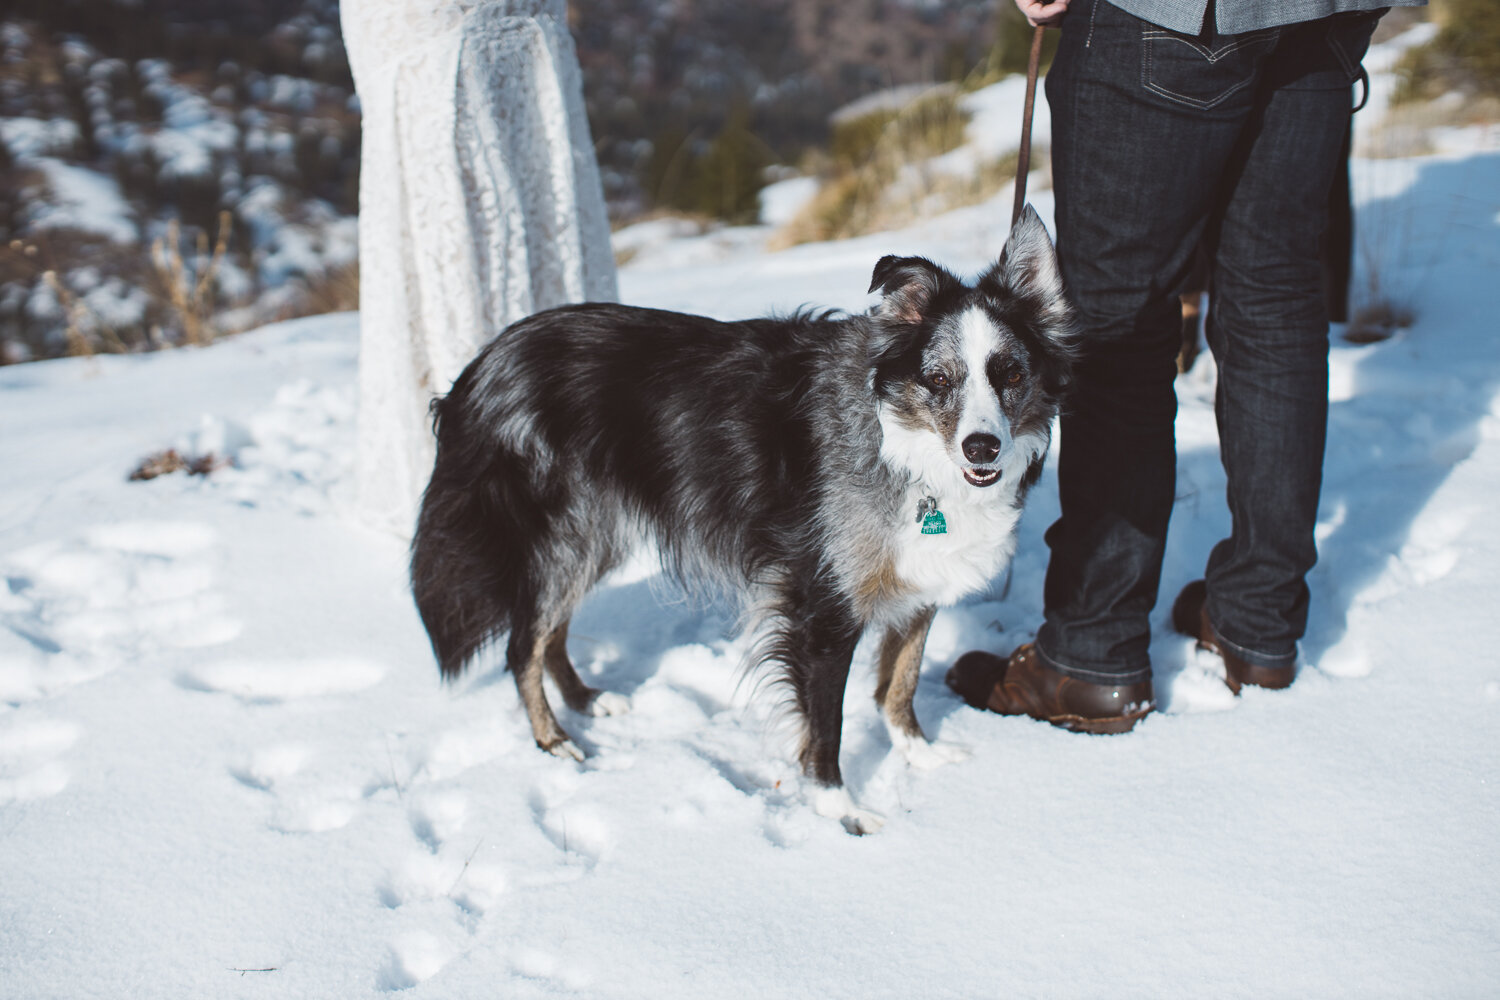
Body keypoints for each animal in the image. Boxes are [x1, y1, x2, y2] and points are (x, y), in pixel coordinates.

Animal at [405, 206, 1074, 833]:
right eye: (938, 379)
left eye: (1011, 373)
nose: (982, 449)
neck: (902, 445)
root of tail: (476, 368)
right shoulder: (821, 608)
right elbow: (826, 724)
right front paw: (839, 809)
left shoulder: (919, 585)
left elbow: (900, 683)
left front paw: (918, 754)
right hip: (562, 532)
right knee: (524, 642)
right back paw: (554, 740)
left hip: (593, 533)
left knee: (552, 631)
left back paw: (587, 701)